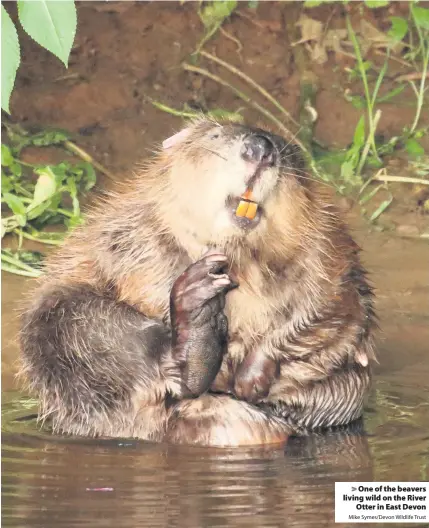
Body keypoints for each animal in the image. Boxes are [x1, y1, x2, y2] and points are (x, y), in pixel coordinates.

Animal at [18, 116, 376, 446]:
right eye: (215, 136)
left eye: (290, 154)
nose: (260, 149)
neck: (241, 256)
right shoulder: (129, 230)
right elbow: (135, 271)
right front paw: (207, 284)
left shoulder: (331, 252)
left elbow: (325, 309)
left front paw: (249, 379)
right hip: (64, 322)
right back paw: (196, 319)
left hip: (348, 393)